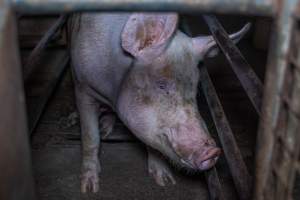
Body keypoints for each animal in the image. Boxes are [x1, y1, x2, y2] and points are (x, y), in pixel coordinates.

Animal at [69, 12, 250, 192]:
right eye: (162, 85)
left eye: (195, 87)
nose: (213, 152)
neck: (113, 90)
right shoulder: (83, 88)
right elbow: (90, 136)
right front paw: (89, 188)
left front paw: (166, 182)